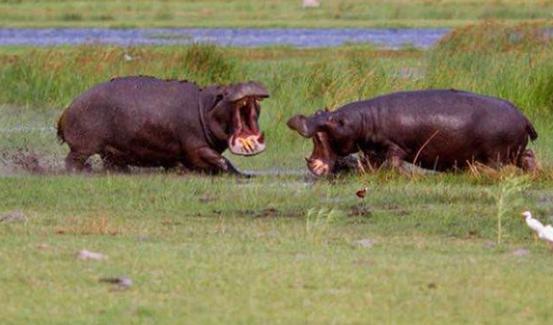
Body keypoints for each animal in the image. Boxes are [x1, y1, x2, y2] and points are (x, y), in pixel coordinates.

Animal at [57, 75, 268, 175]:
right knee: (72, 161)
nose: (248, 81)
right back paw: (82, 172)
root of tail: (67, 107)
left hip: (110, 150)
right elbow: (221, 160)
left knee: (112, 163)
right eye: (222, 93)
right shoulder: (196, 148)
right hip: (83, 147)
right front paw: (244, 175)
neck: (205, 106)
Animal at [286, 88, 536, 176]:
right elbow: (370, 165)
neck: (359, 121)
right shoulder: (374, 150)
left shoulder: (394, 147)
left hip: (497, 155)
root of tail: (524, 117)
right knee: (529, 157)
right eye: (320, 111)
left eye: (328, 120)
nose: (299, 118)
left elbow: (394, 164)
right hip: (515, 152)